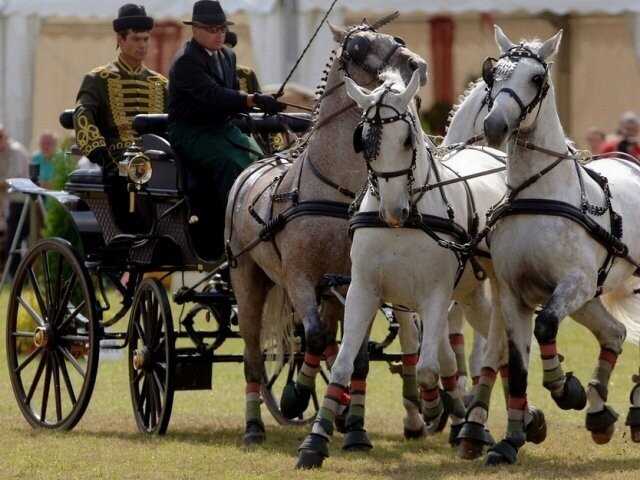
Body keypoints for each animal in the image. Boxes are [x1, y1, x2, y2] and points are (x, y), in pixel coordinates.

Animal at [296, 68, 510, 468]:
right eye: (363, 141)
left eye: (409, 138)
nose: (393, 211)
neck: (405, 223)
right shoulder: (362, 291)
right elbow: (343, 365)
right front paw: (314, 443)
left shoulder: (435, 296)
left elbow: (427, 370)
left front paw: (433, 407)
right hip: (470, 294)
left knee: (498, 345)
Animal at [478, 25, 640, 464]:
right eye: (493, 74)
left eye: (536, 78)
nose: (494, 126)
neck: (540, 194)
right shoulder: (513, 294)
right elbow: (517, 366)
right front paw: (510, 441)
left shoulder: (574, 282)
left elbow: (546, 325)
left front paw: (565, 389)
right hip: (588, 298)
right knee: (614, 333)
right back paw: (600, 414)